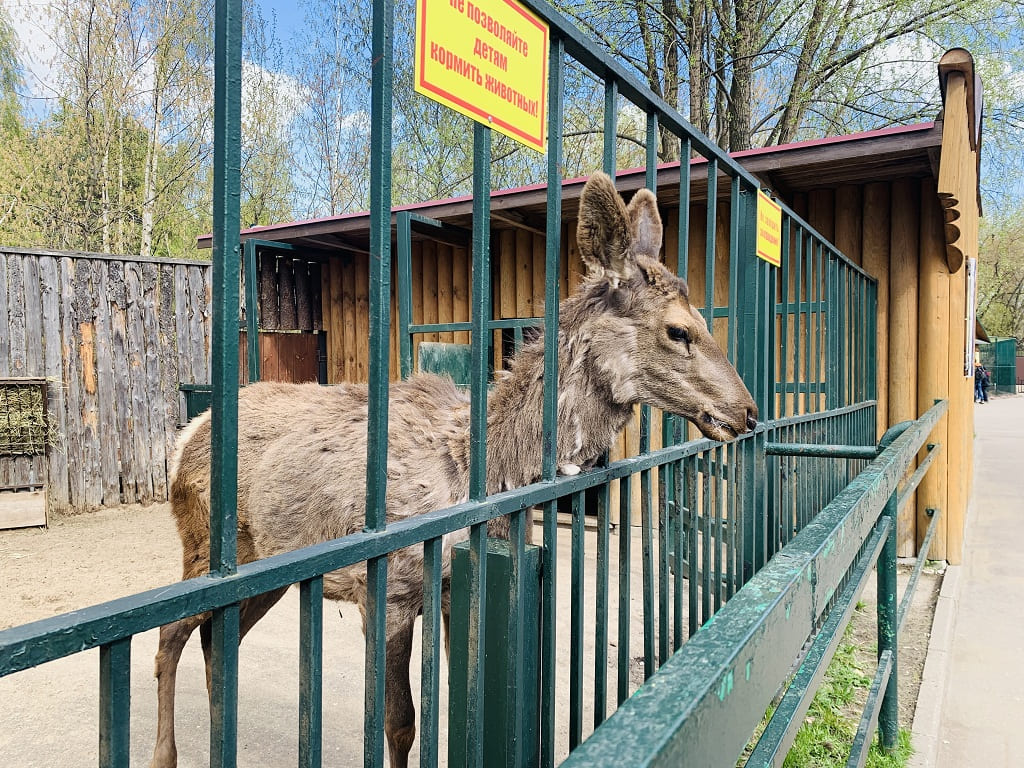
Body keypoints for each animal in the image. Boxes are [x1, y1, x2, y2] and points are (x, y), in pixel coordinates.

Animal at [151, 174, 761, 768]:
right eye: (679, 330)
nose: (748, 411)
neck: (482, 472)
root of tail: (184, 435)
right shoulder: (388, 592)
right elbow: (399, 723)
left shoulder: (453, 589)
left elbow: (460, 706)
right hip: (204, 546)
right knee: (168, 635)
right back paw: (165, 755)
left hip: (266, 566)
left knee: (216, 644)